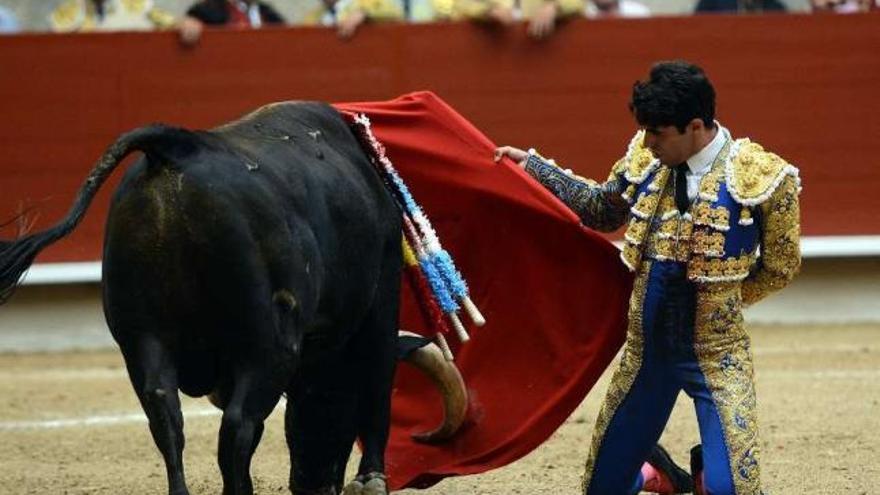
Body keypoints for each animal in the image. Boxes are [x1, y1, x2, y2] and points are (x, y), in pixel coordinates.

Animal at [0, 102, 468, 494]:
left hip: (140, 338)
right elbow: (376, 385)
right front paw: (371, 479)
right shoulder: (381, 298)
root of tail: (179, 147)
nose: (314, 485)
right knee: (239, 426)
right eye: (336, 404)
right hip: (267, 343)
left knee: (165, 419)